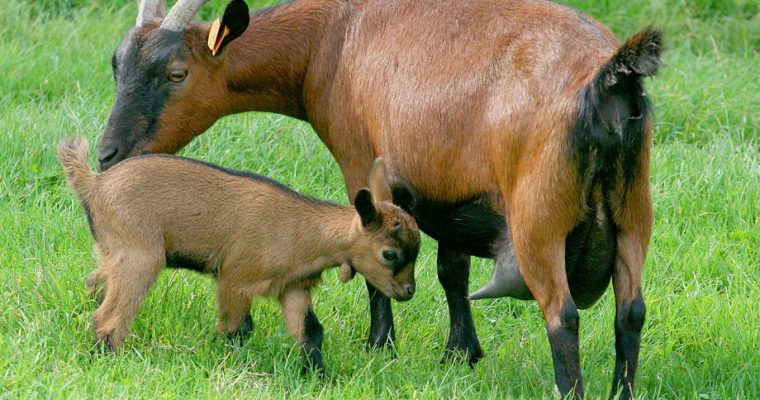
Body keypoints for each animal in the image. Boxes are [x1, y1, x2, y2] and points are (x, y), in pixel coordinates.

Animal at [56, 138, 418, 372]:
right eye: (390, 254)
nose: (408, 292)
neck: (301, 229)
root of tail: (95, 183)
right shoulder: (236, 278)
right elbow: (237, 328)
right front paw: (229, 364)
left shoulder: (293, 288)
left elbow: (311, 333)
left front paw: (317, 376)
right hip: (140, 256)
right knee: (109, 317)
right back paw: (108, 359)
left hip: (113, 251)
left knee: (95, 283)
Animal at [98, 0, 664, 396]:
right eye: (116, 67)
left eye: (176, 73)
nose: (109, 155)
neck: (333, 37)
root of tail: (610, 80)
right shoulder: (450, 192)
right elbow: (452, 273)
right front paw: (460, 355)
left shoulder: (361, 160)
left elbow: (372, 252)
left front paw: (379, 347)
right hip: (634, 212)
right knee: (630, 313)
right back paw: (621, 393)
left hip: (538, 218)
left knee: (562, 315)